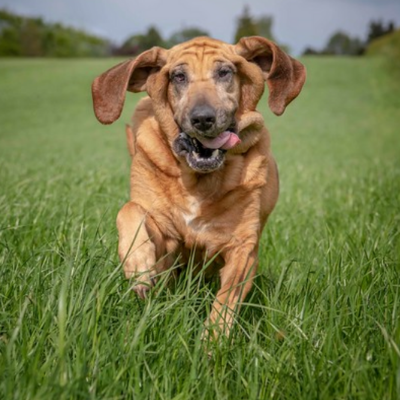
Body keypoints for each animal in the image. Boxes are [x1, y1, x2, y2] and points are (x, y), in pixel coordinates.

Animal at [91, 36, 306, 336]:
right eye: (178, 77)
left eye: (225, 72)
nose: (203, 118)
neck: (198, 180)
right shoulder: (166, 238)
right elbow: (130, 210)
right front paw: (138, 265)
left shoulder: (242, 249)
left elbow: (226, 301)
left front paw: (212, 340)